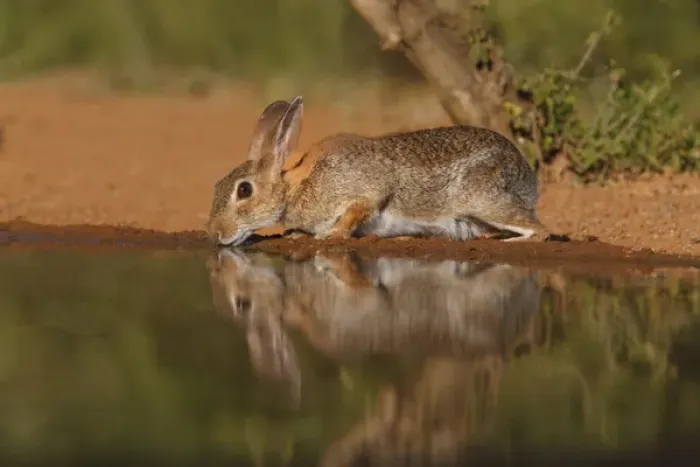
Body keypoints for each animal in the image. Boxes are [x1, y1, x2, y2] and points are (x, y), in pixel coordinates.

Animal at [207, 96, 549, 246]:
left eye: (244, 190)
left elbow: (358, 210)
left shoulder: (365, 188)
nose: (215, 234)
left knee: (540, 230)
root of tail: (527, 178)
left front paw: (331, 235)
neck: (295, 188)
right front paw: (295, 233)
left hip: (485, 200)